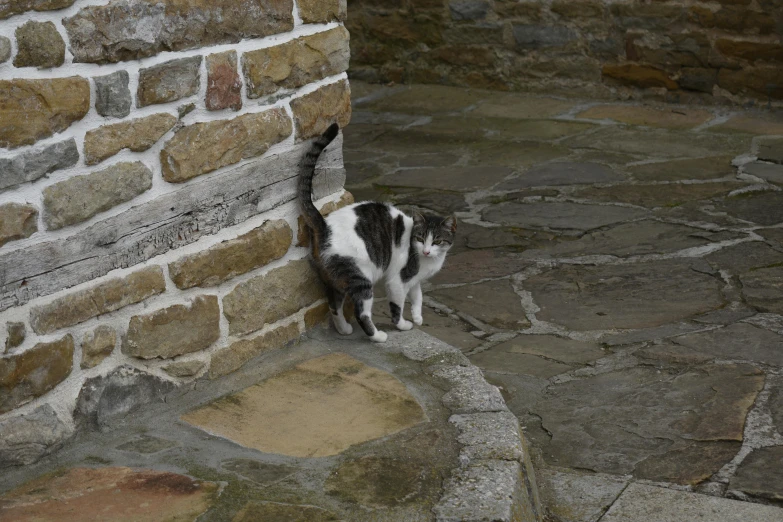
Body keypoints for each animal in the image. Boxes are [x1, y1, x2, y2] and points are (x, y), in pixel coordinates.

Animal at [300, 122, 460, 342]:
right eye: (420, 238)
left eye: (436, 241)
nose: (426, 251)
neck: (427, 261)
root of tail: (325, 227)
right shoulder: (398, 280)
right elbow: (397, 306)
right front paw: (403, 325)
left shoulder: (414, 280)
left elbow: (418, 296)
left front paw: (418, 316)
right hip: (361, 278)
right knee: (362, 313)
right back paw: (377, 336)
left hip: (337, 278)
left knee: (334, 304)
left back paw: (344, 329)